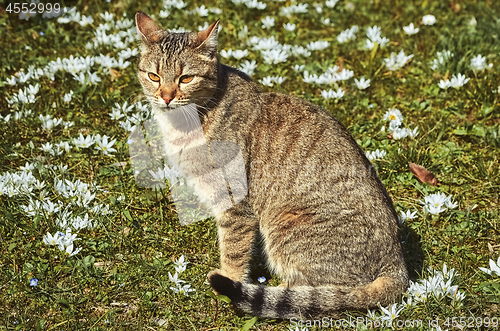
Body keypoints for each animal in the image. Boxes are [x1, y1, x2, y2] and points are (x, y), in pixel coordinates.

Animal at [135, 11, 408, 320]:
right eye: (154, 76)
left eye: (186, 78)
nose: (166, 97)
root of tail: (397, 264)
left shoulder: (234, 202)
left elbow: (233, 250)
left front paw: (228, 281)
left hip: (285, 226)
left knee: (324, 294)